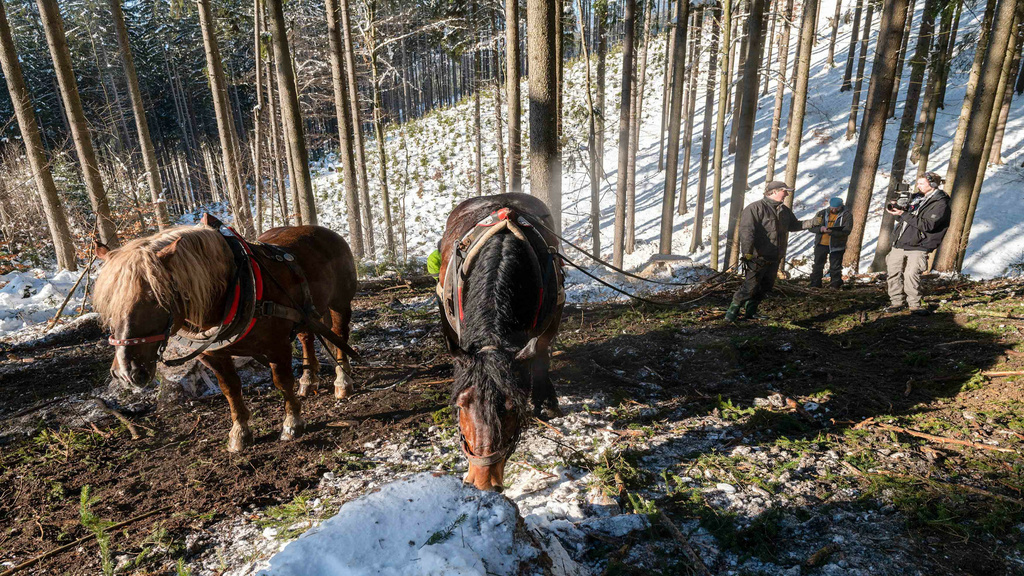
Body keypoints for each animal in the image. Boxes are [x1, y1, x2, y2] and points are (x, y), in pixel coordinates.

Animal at [95, 219, 360, 448]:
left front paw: (292, 423)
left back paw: (343, 381)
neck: (235, 288)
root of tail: (327, 233)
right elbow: (230, 389)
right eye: (109, 304)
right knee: (307, 337)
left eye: (154, 298)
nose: (126, 372)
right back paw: (308, 380)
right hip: (306, 314)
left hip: (339, 304)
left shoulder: (277, 346)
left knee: (339, 335)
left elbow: (282, 382)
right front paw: (240, 432)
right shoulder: (212, 355)